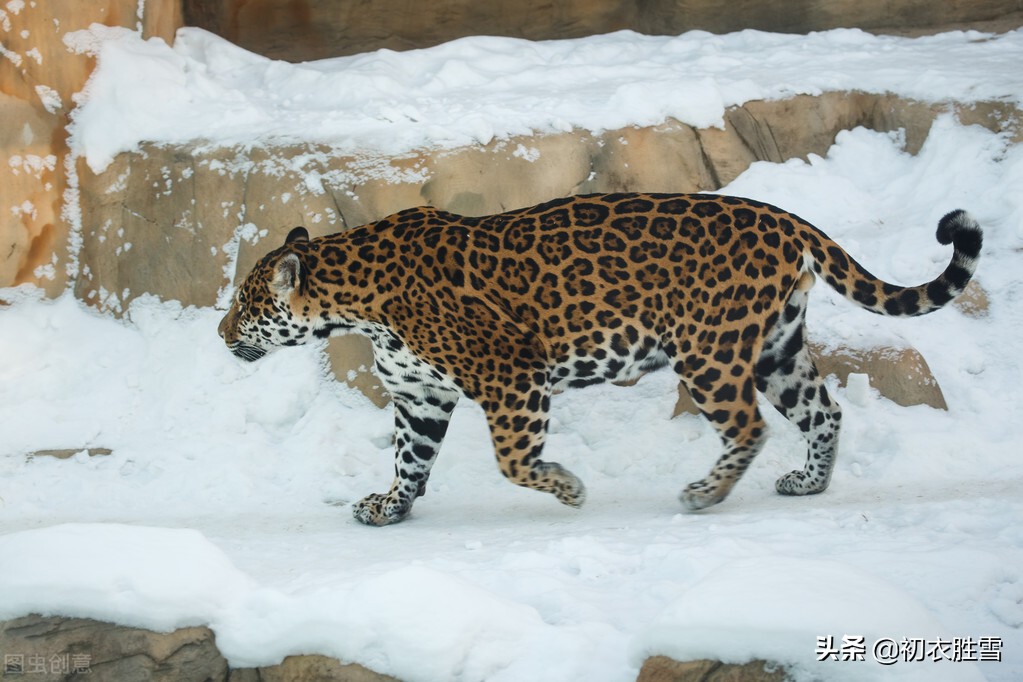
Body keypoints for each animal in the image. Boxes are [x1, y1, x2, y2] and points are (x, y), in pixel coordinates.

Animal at [217, 193, 982, 527]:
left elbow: (513, 460)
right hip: (775, 346)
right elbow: (410, 457)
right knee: (821, 411)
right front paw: (390, 506)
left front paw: (568, 487)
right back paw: (808, 484)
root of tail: (782, 217)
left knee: (749, 426)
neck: (353, 302)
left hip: (709, 351)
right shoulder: (419, 395)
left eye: (246, 302)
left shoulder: (510, 376)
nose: (221, 332)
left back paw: (704, 495)